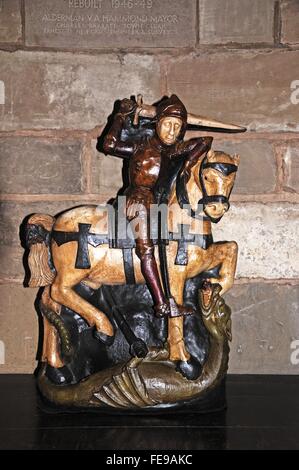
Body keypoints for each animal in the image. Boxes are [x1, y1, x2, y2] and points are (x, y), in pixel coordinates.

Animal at [26, 149, 241, 380]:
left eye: (231, 178)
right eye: (207, 176)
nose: (217, 207)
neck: (180, 221)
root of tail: (54, 224)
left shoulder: (201, 260)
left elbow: (231, 248)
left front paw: (218, 284)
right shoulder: (175, 276)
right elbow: (176, 318)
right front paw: (185, 362)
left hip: (88, 279)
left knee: (51, 303)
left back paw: (57, 368)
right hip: (73, 272)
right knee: (58, 292)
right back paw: (104, 330)